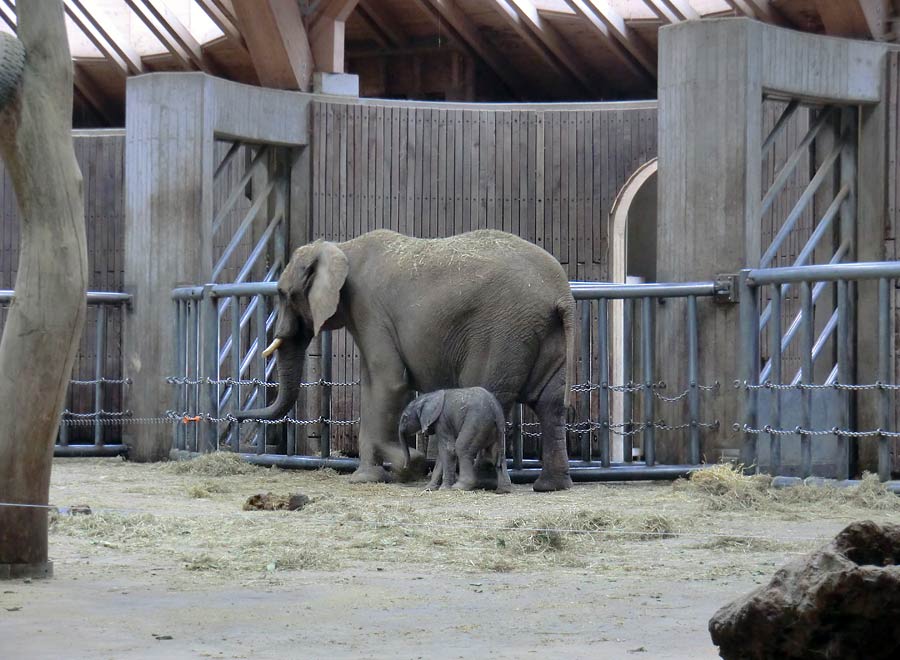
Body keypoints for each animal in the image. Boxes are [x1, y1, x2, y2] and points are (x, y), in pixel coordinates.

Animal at [237, 229, 576, 492]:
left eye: (284, 293)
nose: (236, 417)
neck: (342, 246)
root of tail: (562, 294)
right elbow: (371, 385)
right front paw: (370, 476)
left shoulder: (369, 308)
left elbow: (388, 383)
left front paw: (406, 465)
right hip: (544, 333)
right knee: (550, 403)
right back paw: (550, 486)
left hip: (502, 333)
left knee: (491, 391)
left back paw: (480, 482)